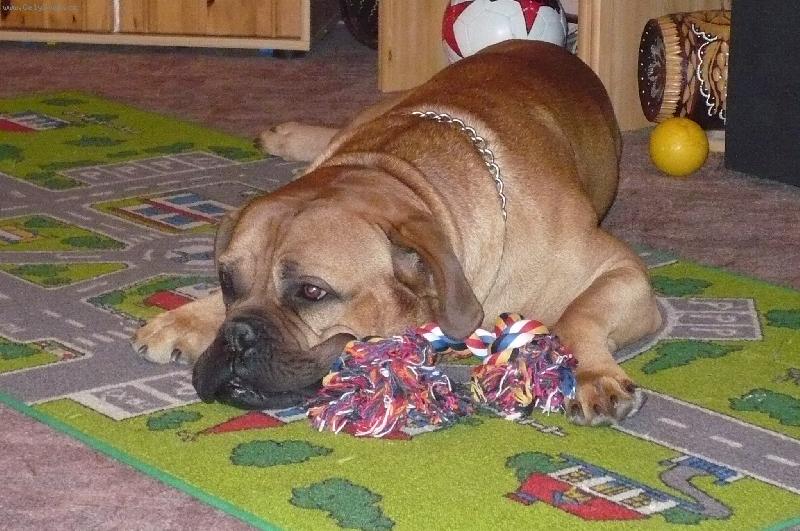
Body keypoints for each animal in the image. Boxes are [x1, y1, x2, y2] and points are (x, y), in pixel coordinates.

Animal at [132, 40, 662, 425]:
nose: (237, 335)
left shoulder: (622, 272)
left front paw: (593, 376)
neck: (405, 175)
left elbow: (578, 315)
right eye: (227, 281)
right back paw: (288, 137)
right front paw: (187, 318)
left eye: (312, 292)